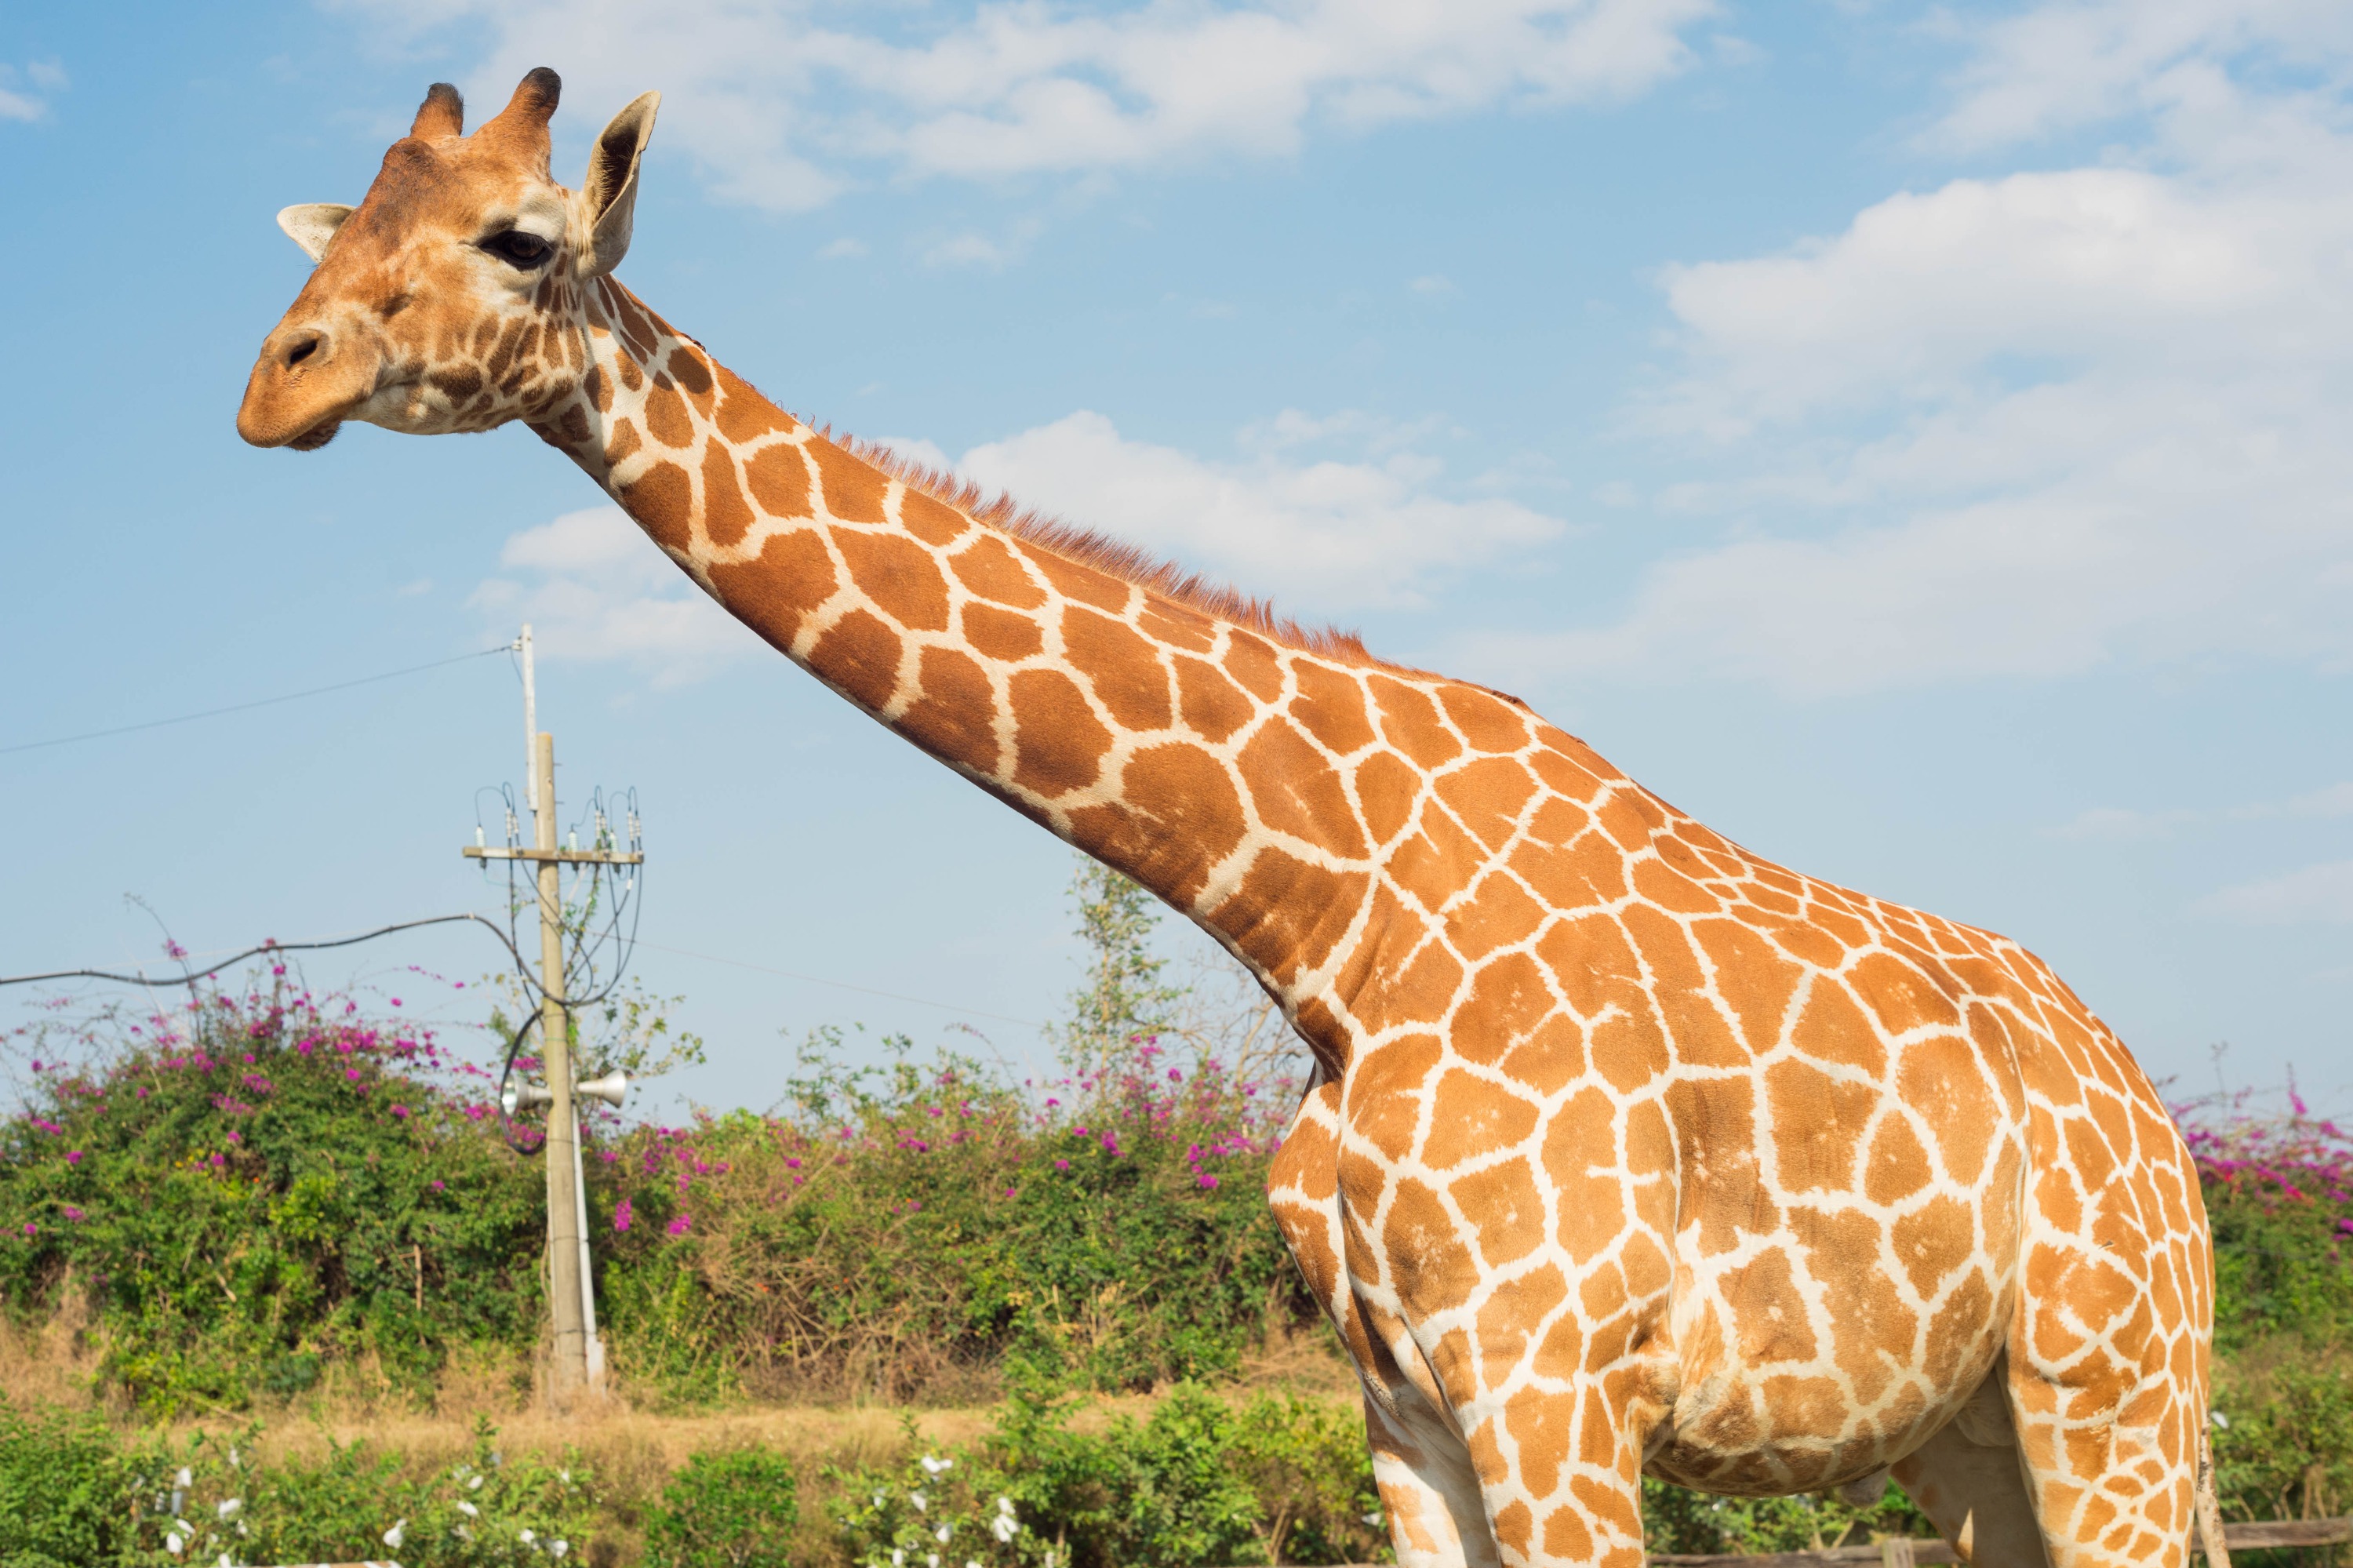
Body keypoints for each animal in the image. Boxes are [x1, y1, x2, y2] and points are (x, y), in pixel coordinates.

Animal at [238, 67, 2240, 1553]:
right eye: (347, 224)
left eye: (518, 236)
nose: (278, 378)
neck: (1328, 917)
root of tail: (2143, 1103)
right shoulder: (1407, 1403)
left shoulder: (1558, 1382)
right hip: (1970, 1431)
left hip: (2114, 1385)